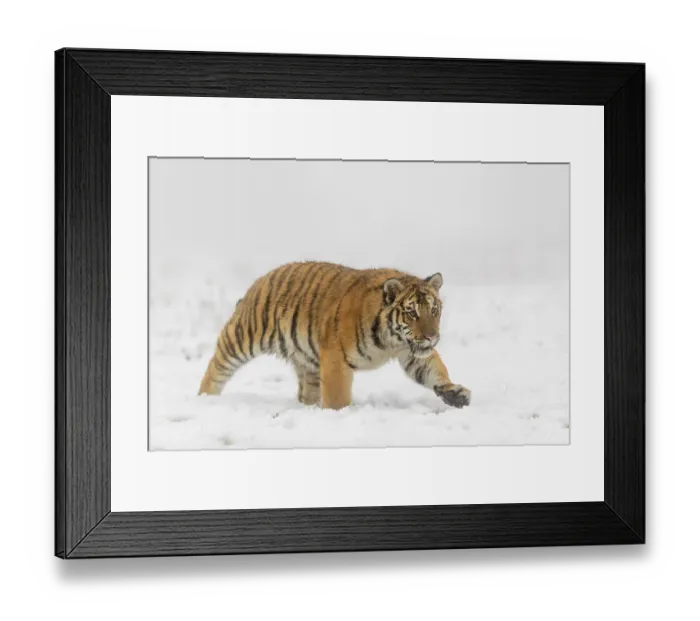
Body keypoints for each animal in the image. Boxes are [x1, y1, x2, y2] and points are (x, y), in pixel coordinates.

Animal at [198, 261, 472, 410]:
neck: (392, 341)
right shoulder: (335, 358)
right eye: (412, 313)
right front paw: (340, 416)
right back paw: (205, 399)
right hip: (242, 337)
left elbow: (435, 370)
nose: (431, 337)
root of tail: (259, 281)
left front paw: (455, 393)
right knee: (216, 366)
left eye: (434, 311)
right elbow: (337, 396)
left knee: (306, 393)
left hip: (307, 363)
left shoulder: (412, 353)